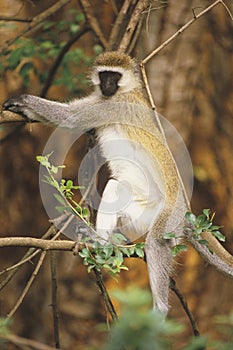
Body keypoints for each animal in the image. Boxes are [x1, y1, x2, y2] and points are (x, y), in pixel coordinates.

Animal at [2, 50, 233, 314]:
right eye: (104, 75)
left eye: (115, 76)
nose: (107, 86)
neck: (125, 91)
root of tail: (185, 213)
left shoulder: (113, 105)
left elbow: (70, 117)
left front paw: (23, 101)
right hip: (142, 214)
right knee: (115, 186)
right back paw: (100, 241)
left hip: (169, 218)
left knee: (156, 243)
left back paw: (160, 309)